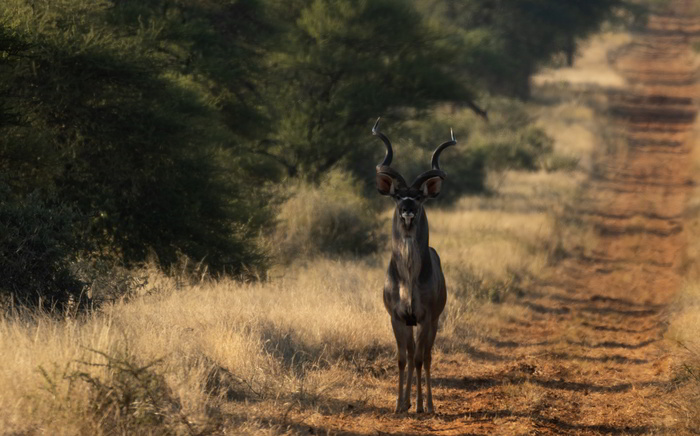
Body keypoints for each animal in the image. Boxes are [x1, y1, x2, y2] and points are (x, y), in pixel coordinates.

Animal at [372, 118, 454, 412]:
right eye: (397, 196)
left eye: (419, 196)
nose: (407, 209)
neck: (407, 278)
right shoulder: (398, 318)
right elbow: (402, 359)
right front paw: (400, 405)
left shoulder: (427, 317)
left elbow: (420, 359)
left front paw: (420, 406)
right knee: (411, 355)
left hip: (434, 322)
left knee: (426, 357)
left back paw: (427, 404)